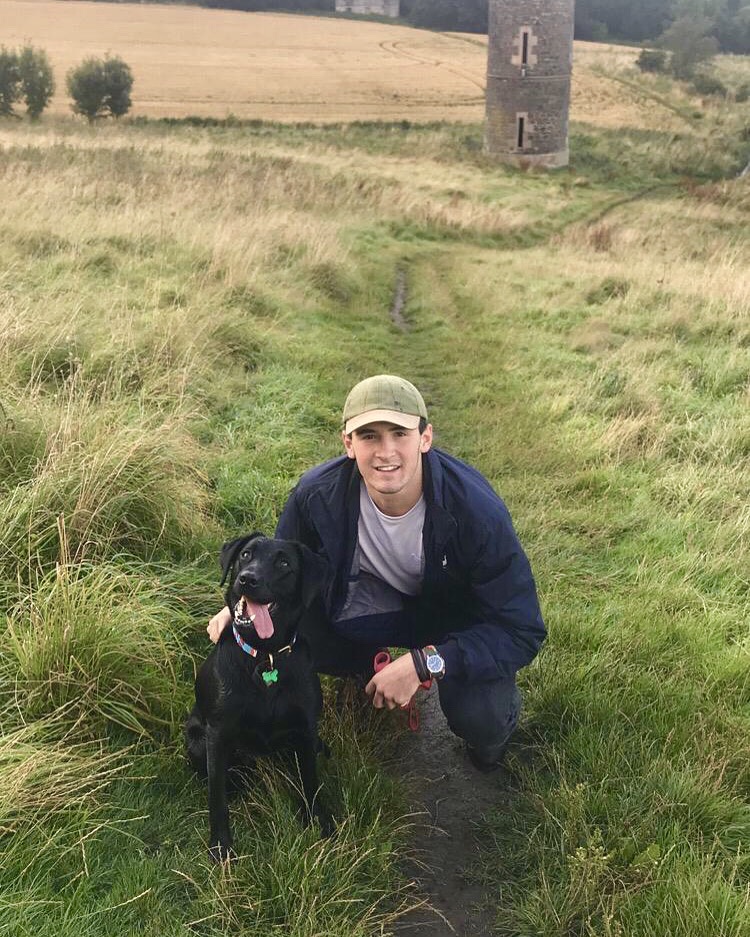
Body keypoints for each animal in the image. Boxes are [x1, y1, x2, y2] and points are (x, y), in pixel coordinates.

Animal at [185, 532, 332, 860]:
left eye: (284, 563)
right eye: (245, 555)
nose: (247, 579)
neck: (265, 657)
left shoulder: (306, 730)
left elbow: (311, 781)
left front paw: (319, 822)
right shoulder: (217, 735)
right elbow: (217, 798)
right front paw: (221, 846)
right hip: (197, 741)